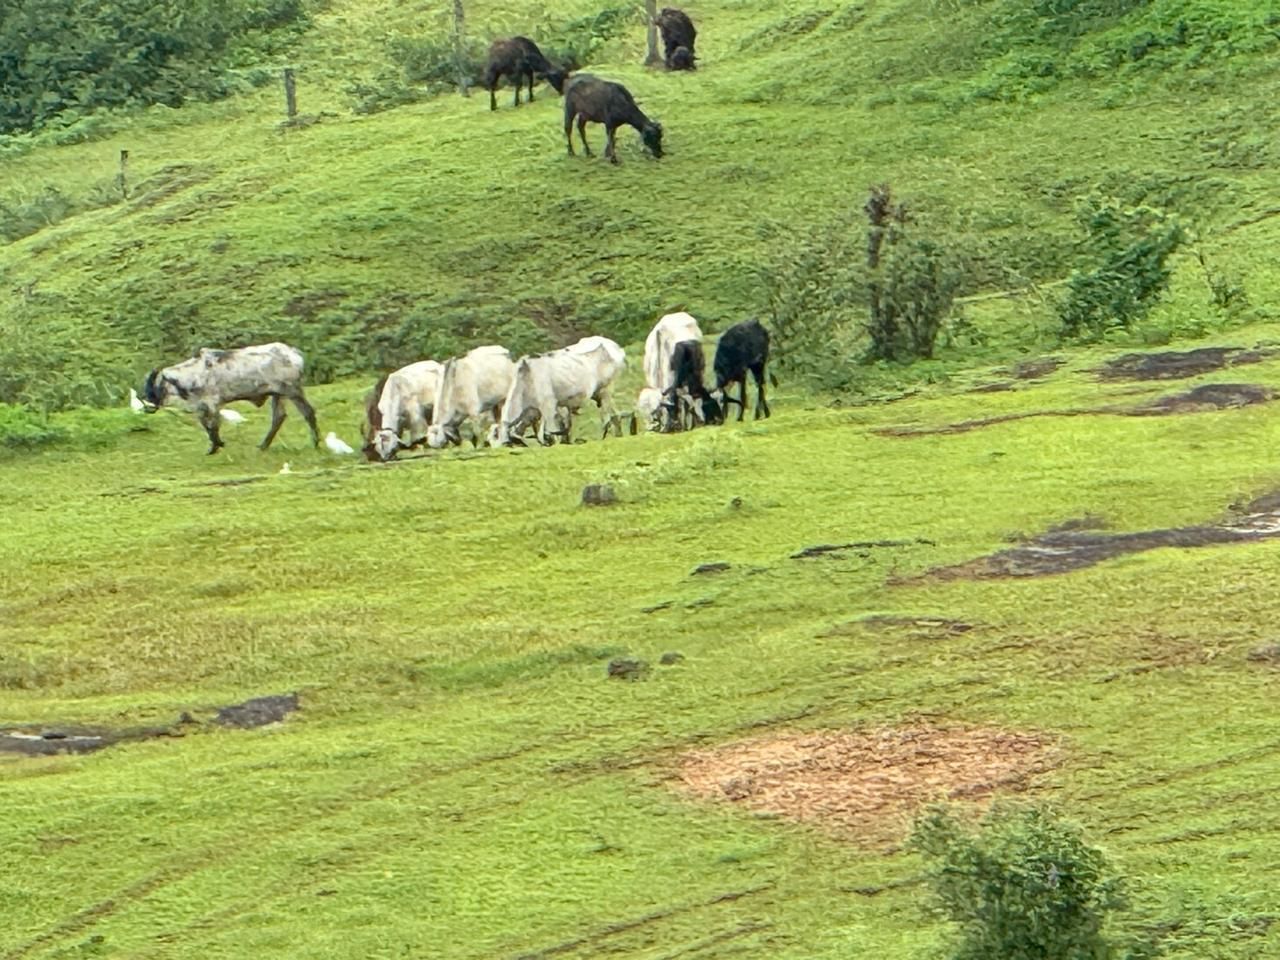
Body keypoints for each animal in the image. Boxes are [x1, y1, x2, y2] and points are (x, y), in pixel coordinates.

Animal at [140, 342, 318, 455]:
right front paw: (216, 445)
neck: (193, 375)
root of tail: (294, 353)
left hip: (292, 391)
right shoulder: (204, 407)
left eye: (153, 385)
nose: (145, 401)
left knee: (308, 412)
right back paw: (263, 446)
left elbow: (212, 426)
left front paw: (216, 446)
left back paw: (315, 442)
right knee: (279, 417)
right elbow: (207, 426)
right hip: (278, 395)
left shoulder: (211, 404)